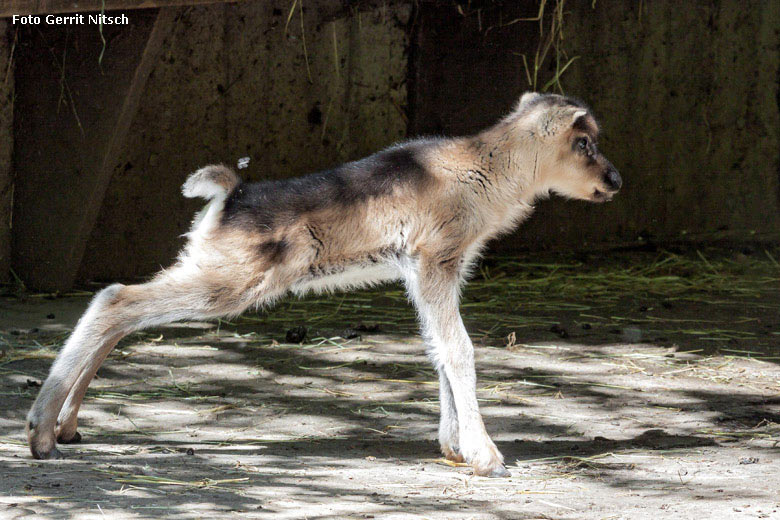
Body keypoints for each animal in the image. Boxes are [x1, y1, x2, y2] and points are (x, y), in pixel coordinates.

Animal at [25, 92, 620, 476]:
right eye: (585, 143)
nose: (615, 180)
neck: (485, 172)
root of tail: (228, 195)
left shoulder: (429, 272)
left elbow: (438, 349)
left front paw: (453, 447)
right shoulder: (435, 261)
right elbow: (460, 350)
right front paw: (486, 455)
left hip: (212, 271)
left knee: (122, 310)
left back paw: (66, 427)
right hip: (232, 280)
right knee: (114, 299)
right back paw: (41, 433)